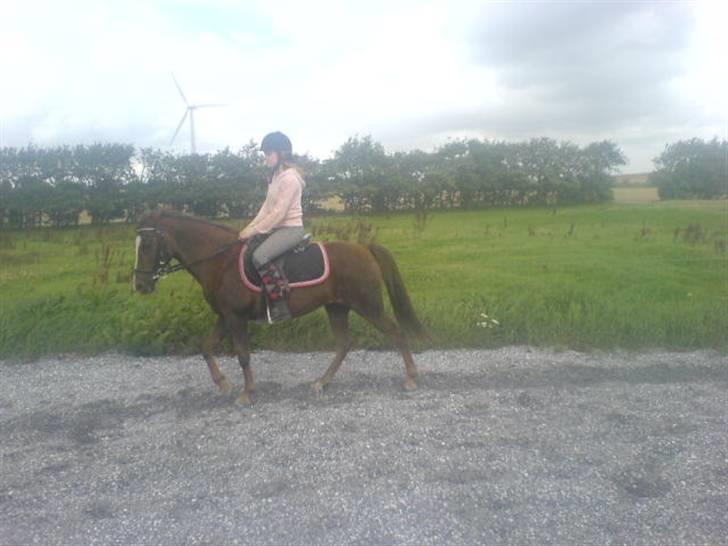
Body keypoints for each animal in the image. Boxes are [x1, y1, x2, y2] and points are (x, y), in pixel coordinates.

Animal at [132, 209, 428, 404]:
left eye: (146, 244)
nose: (139, 285)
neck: (221, 261)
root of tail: (365, 249)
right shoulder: (225, 316)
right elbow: (206, 347)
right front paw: (223, 384)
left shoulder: (236, 318)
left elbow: (243, 355)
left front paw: (247, 393)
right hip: (336, 307)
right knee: (345, 343)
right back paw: (322, 382)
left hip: (368, 306)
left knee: (395, 332)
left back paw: (412, 378)